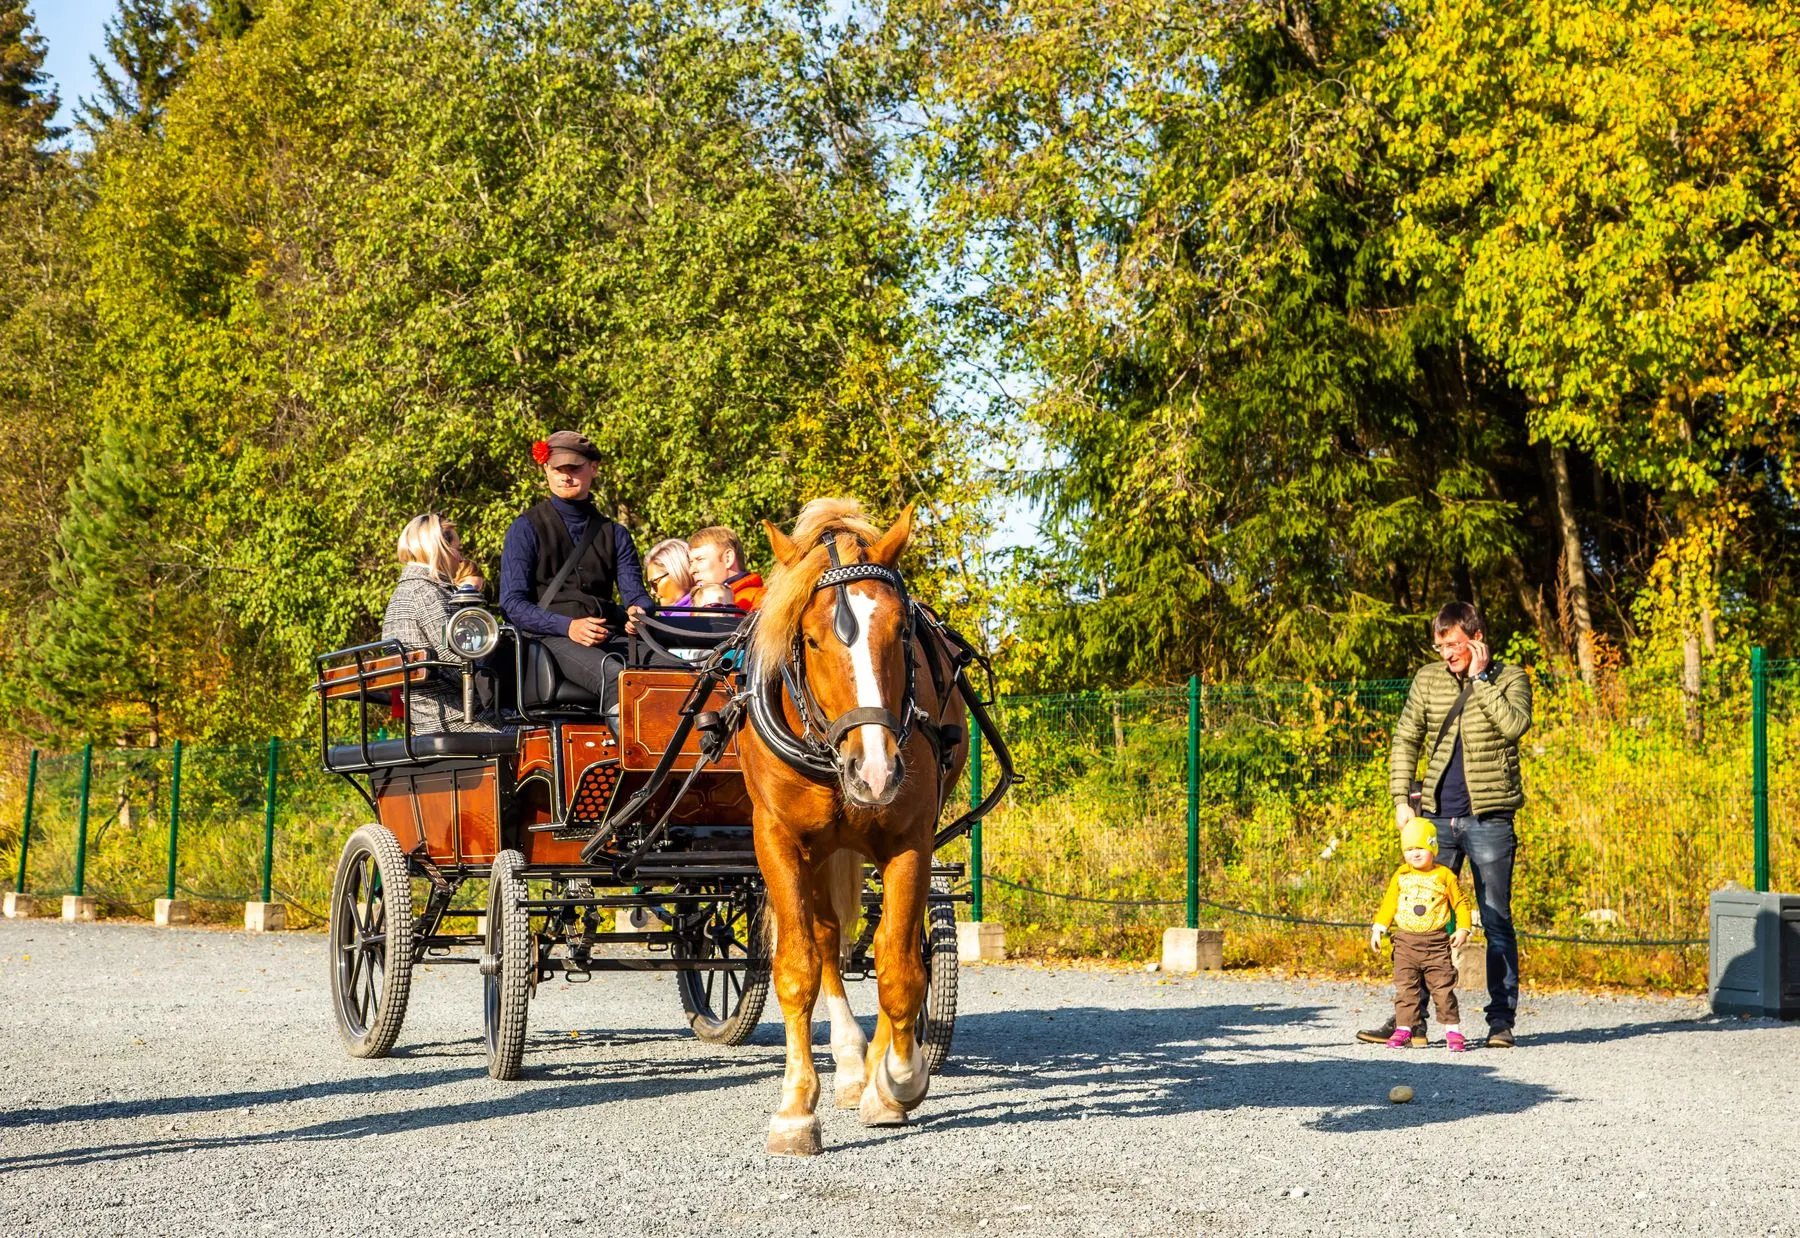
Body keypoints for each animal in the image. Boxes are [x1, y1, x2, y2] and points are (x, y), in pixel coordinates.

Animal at [738, 496, 972, 1158]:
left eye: (903, 632)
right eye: (811, 640)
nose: (873, 770)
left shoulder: (911, 841)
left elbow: (900, 968)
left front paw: (897, 1081)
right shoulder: (779, 841)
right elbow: (798, 968)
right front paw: (796, 1109)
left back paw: (873, 1069)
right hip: (819, 851)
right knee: (824, 942)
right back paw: (844, 1063)